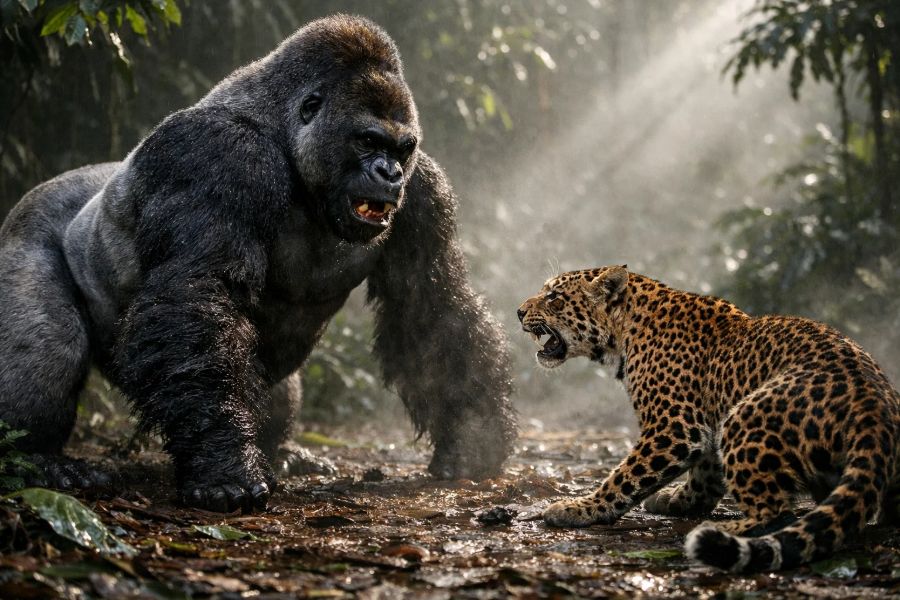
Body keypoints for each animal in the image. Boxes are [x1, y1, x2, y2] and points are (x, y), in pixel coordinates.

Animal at [517, 265, 900, 572]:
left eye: (553, 297)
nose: (519, 312)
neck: (625, 332)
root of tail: (872, 401)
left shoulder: (674, 427)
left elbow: (625, 476)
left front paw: (580, 508)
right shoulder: (705, 425)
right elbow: (704, 477)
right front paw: (674, 501)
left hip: (744, 416)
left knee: (777, 512)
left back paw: (719, 533)